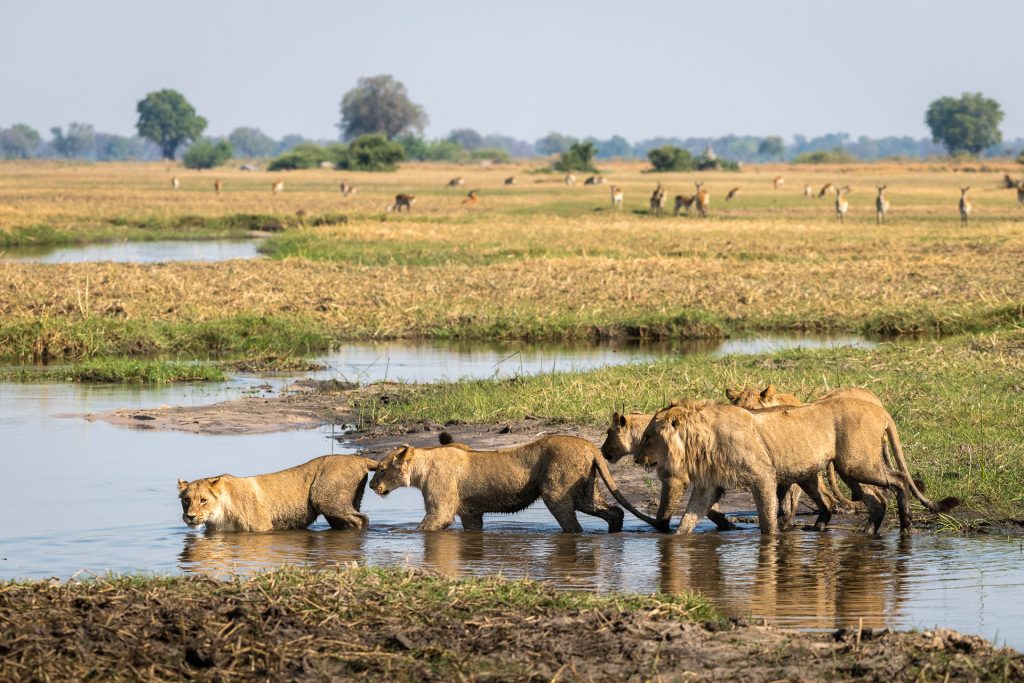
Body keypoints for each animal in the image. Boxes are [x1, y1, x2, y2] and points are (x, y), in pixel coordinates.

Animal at [178, 454, 377, 532]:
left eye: (203, 500)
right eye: (186, 500)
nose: (190, 517)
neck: (219, 515)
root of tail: (359, 458)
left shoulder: (263, 528)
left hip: (324, 499)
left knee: (362, 519)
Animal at [369, 434, 669, 533]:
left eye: (381, 469)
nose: (372, 487)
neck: (422, 464)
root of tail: (590, 446)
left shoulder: (441, 507)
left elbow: (426, 525)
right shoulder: (470, 512)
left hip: (556, 491)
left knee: (573, 525)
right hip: (587, 493)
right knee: (614, 511)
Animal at [600, 411, 736, 531]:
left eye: (608, 433)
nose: (601, 450)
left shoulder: (675, 479)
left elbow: (664, 509)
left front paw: (662, 529)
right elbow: (708, 507)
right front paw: (726, 524)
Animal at [635, 397, 958, 535]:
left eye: (648, 436)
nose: (637, 458)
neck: (700, 439)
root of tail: (881, 410)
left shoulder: (763, 476)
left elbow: (768, 520)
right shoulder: (708, 486)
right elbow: (688, 520)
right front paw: (674, 543)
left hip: (857, 463)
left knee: (900, 480)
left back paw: (905, 525)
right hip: (848, 468)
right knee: (877, 499)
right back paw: (868, 532)